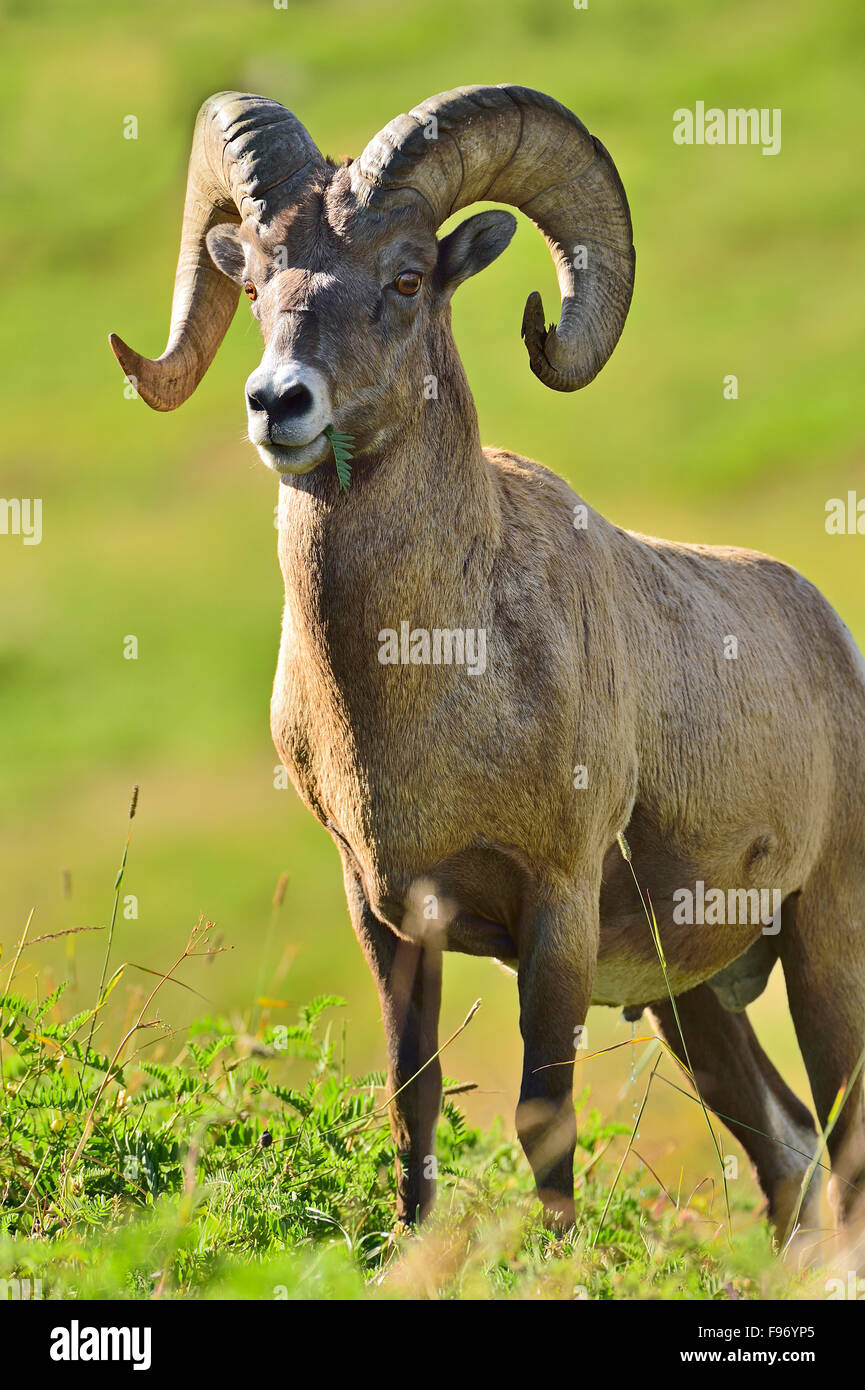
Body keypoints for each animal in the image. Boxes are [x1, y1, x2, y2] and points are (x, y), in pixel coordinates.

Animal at [110, 86, 865, 1243]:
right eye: (255, 279)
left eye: (407, 278)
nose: (278, 403)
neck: (422, 677)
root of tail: (831, 636)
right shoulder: (386, 918)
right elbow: (413, 1109)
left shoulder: (555, 910)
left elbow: (542, 1120)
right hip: (693, 1002)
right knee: (787, 1155)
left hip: (825, 943)